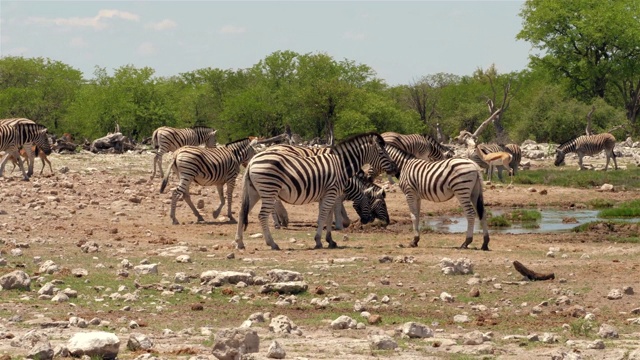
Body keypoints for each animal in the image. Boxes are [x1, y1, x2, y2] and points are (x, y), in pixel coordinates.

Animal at [235, 133, 396, 250]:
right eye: (382, 152)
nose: (395, 168)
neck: (341, 166)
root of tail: (252, 161)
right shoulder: (332, 193)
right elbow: (324, 215)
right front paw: (319, 240)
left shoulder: (326, 195)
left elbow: (327, 216)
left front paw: (330, 240)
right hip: (269, 189)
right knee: (262, 215)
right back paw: (272, 243)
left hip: (254, 191)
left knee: (242, 213)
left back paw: (239, 243)